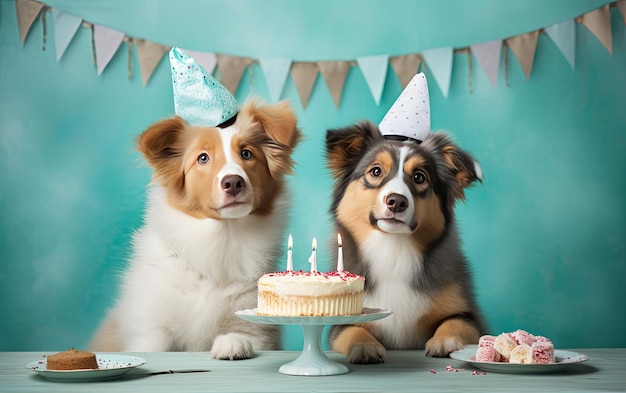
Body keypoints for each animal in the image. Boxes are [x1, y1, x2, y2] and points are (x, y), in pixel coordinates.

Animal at [89, 100, 302, 358]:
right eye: (203, 158)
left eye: (246, 153)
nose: (233, 182)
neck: (221, 239)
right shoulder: (150, 330)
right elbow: (154, 346)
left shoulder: (257, 329)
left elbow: (242, 336)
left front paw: (232, 345)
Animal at [324, 121, 486, 362]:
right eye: (376, 171)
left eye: (419, 177)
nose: (396, 201)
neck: (394, 248)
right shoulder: (342, 323)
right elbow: (352, 330)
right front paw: (364, 345)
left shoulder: (470, 316)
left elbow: (455, 322)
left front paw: (445, 341)